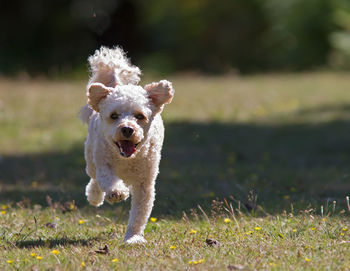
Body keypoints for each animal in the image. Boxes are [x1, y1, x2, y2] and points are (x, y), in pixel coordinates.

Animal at [80, 46, 174, 244]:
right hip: (91, 157)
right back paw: (94, 196)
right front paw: (117, 192)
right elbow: (107, 179)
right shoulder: (103, 164)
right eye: (114, 116)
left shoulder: (144, 183)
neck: (127, 159)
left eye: (140, 116)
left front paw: (133, 238)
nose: (127, 129)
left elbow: (139, 213)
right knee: (94, 179)